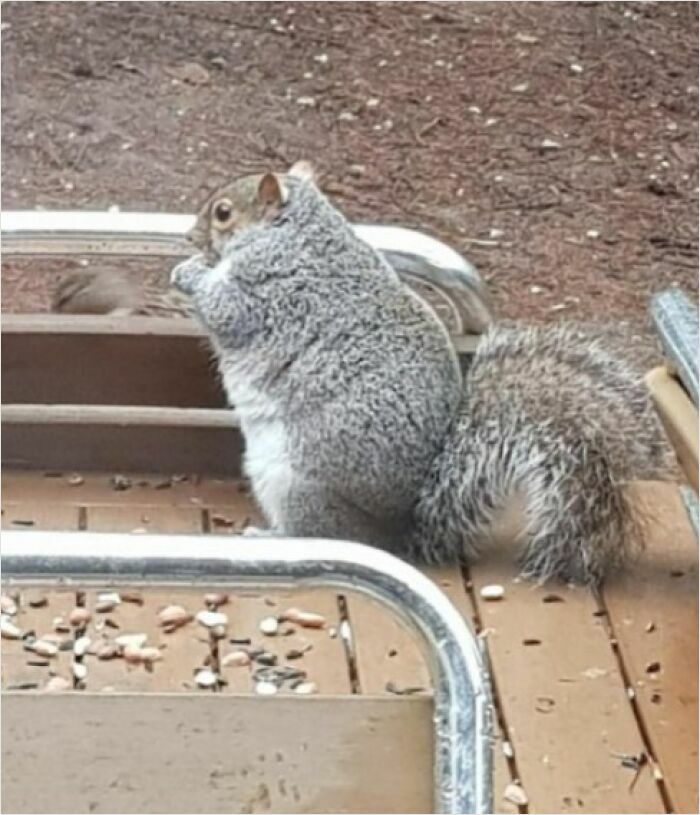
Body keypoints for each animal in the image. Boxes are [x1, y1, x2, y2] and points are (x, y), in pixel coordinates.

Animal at [171, 161, 674, 585]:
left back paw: (273, 537)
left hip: (295, 485)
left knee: (326, 535)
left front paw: (189, 272)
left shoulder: (272, 293)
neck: (294, 232)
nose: (190, 236)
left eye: (222, 213)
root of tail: (400, 532)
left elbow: (225, 310)